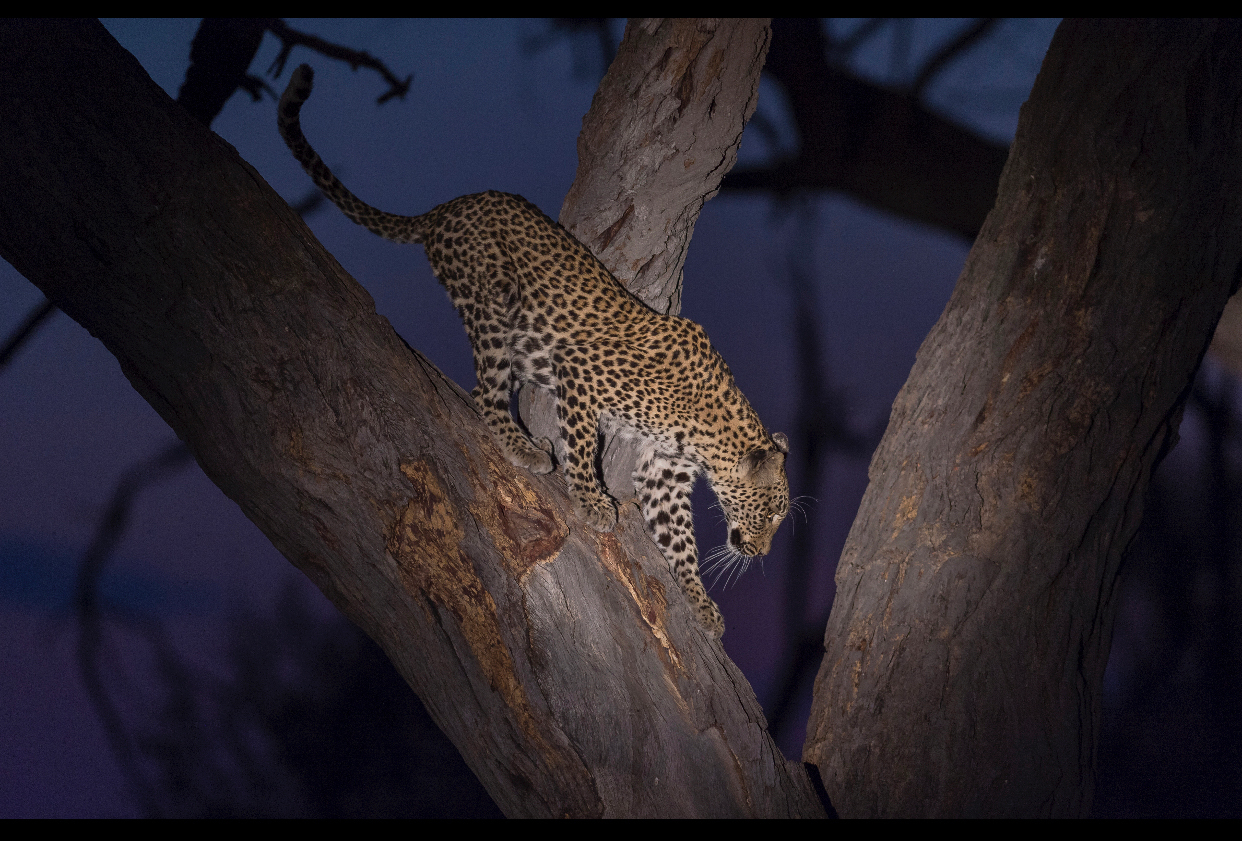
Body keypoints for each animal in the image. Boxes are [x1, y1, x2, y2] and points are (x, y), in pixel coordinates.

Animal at [278, 64, 789, 638]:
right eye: (773, 511)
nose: (760, 551)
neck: (706, 434)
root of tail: (447, 208)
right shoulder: (584, 375)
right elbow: (582, 448)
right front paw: (592, 502)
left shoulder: (664, 471)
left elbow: (677, 536)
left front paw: (701, 604)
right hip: (492, 300)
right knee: (486, 393)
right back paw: (523, 447)